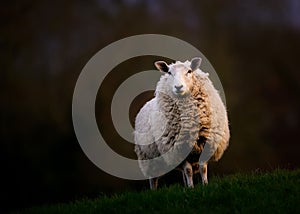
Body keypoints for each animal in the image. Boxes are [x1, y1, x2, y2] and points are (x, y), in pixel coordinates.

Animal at [134, 56, 230, 189]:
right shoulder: (178, 149)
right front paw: (191, 188)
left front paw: (204, 184)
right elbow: (188, 170)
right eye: (169, 72)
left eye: (189, 71)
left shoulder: (206, 144)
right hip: (149, 158)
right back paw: (154, 191)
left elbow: (203, 168)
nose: (178, 87)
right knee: (153, 179)